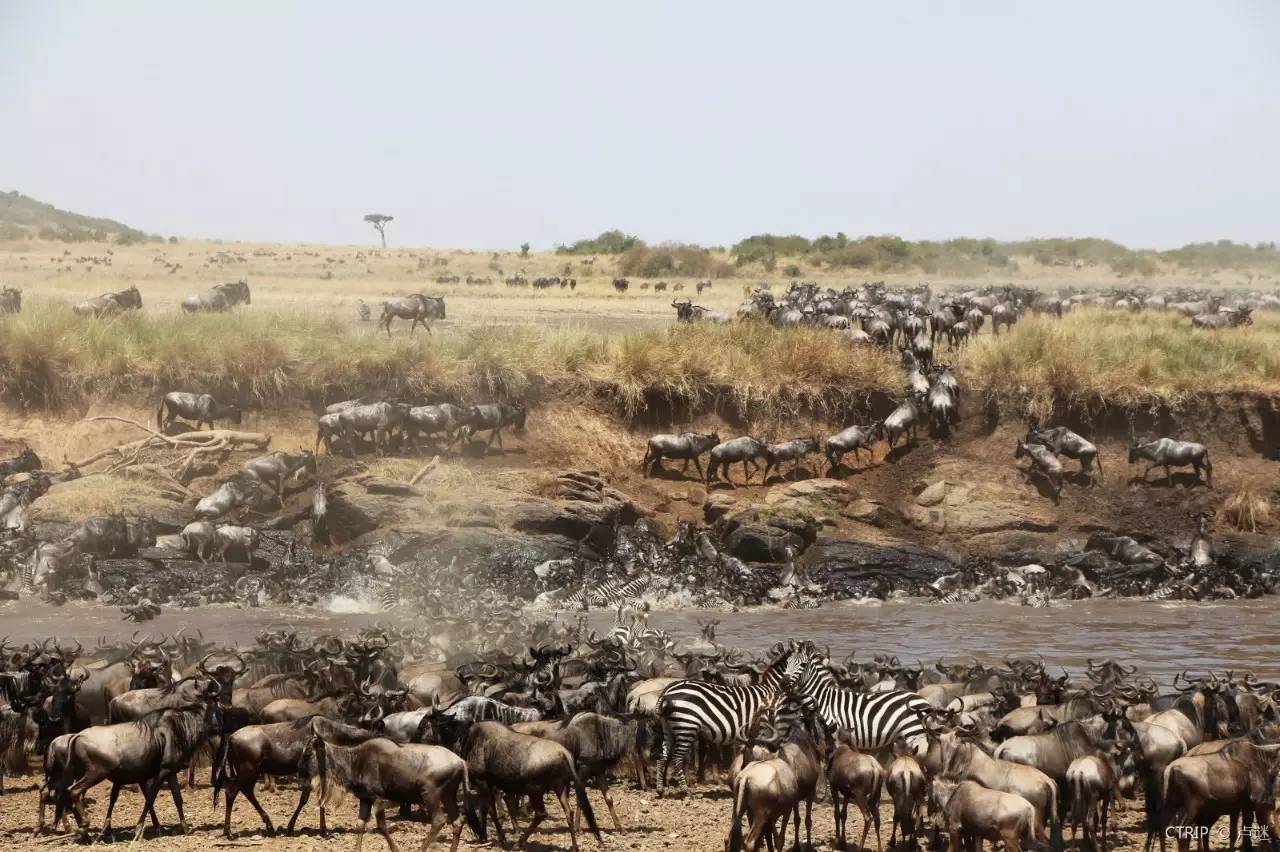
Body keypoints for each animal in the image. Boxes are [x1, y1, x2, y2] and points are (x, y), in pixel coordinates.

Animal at [655, 639, 803, 793]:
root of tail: (666, 692)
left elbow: (748, 755)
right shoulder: (763, 729)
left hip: (669, 727)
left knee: (662, 756)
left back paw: (660, 788)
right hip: (686, 726)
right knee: (677, 758)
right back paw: (685, 790)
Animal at [788, 652, 931, 752]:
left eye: (802, 666)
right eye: (786, 664)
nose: (785, 681)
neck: (823, 699)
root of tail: (922, 699)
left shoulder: (834, 733)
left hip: (914, 732)